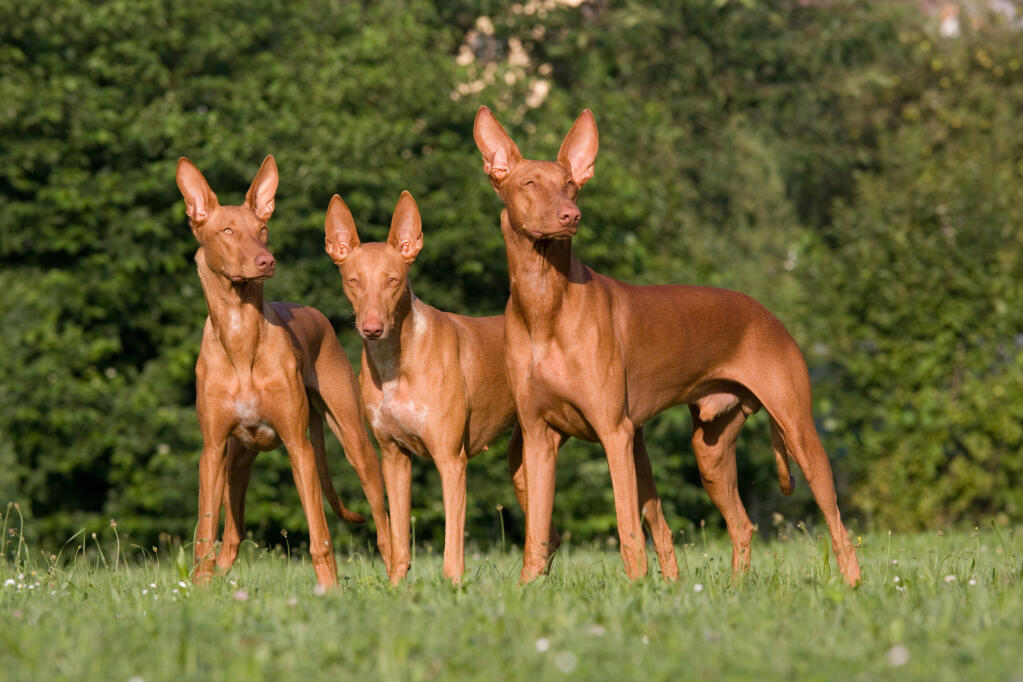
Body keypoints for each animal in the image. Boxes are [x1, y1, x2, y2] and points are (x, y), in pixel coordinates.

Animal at [176, 156, 390, 588]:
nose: (266, 261)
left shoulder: (298, 446)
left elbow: (320, 536)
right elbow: (205, 533)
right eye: (227, 230)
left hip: (355, 443)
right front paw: (200, 589)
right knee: (232, 535)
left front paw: (329, 589)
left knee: (384, 522)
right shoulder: (212, 451)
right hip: (237, 462)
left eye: (262, 229)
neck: (241, 336)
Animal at [323, 193, 556, 588]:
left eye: (393, 280)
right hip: (523, 464)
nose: (372, 328)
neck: (395, 364)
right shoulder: (394, 458)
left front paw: (453, 587)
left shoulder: (451, 461)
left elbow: (452, 544)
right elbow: (399, 539)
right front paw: (396, 587)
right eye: (354, 281)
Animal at [474, 106, 859, 588]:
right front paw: (527, 589)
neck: (544, 304)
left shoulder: (615, 433)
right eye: (529, 184)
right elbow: (537, 532)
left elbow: (626, 524)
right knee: (741, 523)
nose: (570, 215)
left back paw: (852, 584)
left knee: (838, 523)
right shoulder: (538, 438)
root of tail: (768, 313)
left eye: (570, 184)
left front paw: (635, 587)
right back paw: (734, 589)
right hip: (707, 452)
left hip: (800, 431)